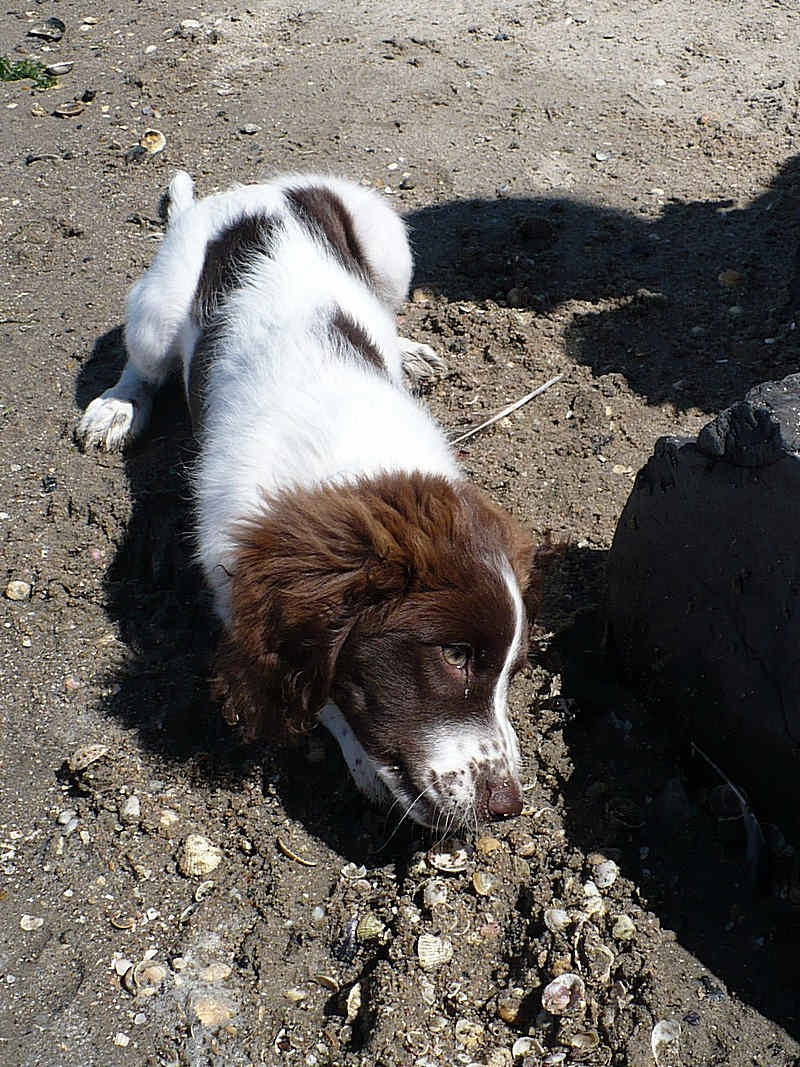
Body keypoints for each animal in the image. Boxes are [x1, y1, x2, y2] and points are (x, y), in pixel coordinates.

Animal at [77, 170, 544, 831]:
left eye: (514, 671)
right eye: (454, 654)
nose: (507, 806)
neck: (358, 464)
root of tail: (253, 190)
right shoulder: (233, 584)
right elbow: (316, 688)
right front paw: (365, 763)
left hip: (391, 246)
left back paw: (408, 349)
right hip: (156, 310)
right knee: (142, 365)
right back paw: (117, 408)